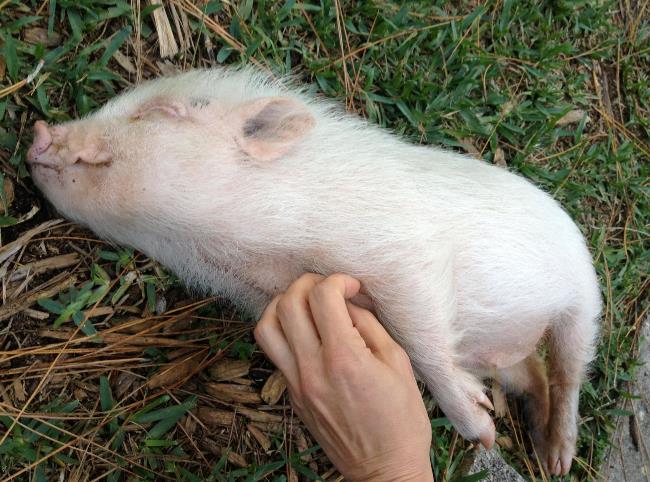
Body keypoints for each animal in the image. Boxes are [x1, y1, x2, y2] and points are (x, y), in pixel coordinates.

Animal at [26, 67, 601, 476]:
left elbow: (420, 337)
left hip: (584, 299)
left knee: (570, 371)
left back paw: (556, 458)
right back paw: (534, 434)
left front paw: (482, 429)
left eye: (157, 113)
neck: (244, 249)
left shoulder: (405, 254)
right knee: (533, 374)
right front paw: (488, 424)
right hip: (508, 352)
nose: (38, 131)